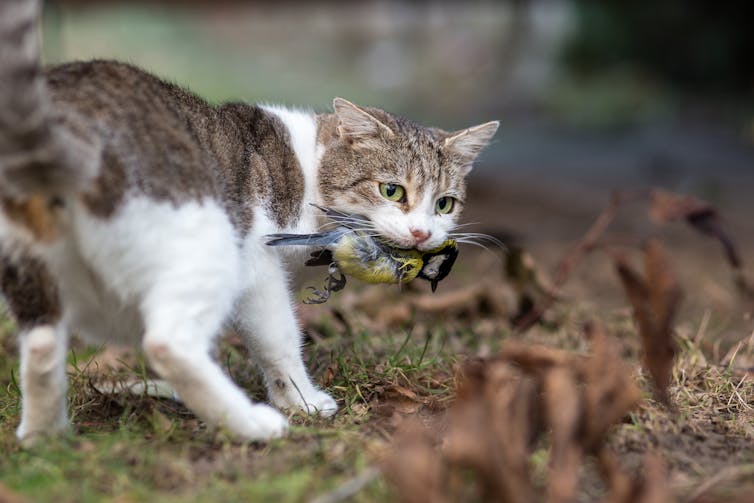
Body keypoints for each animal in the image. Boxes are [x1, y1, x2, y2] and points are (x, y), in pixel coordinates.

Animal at [1, 0, 500, 442]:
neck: (308, 169)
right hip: (208, 244)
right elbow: (278, 340)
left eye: (445, 204)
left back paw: (46, 438)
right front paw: (301, 402)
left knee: (42, 345)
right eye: (391, 190)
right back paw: (251, 425)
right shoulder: (257, 265)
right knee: (167, 342)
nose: (422, 233)